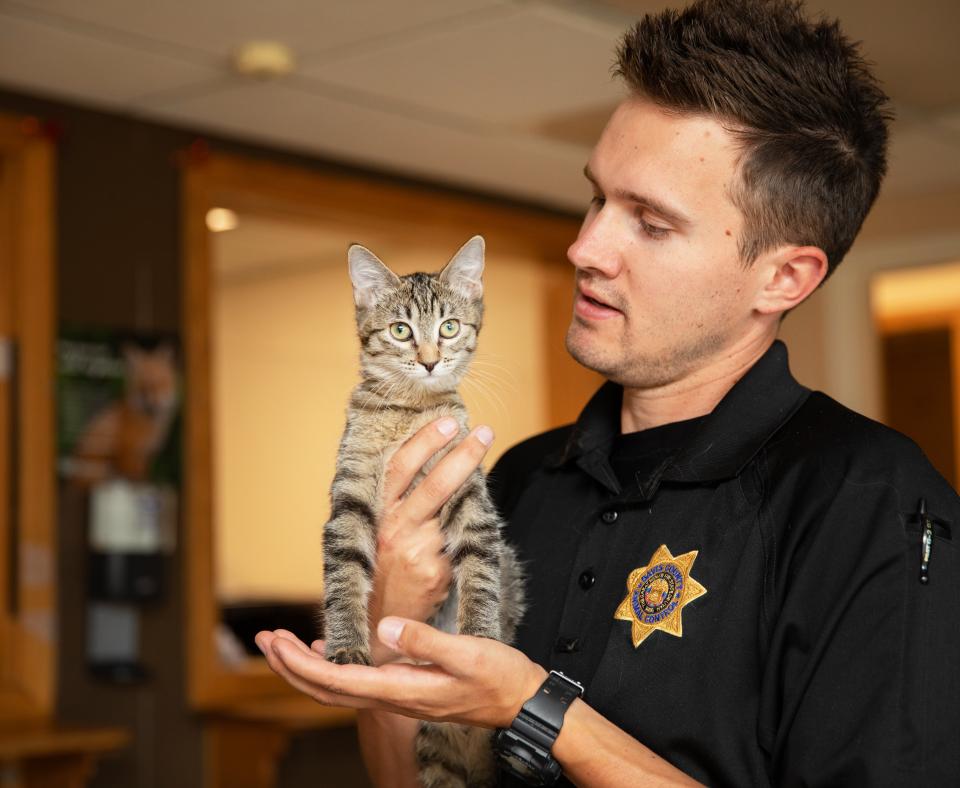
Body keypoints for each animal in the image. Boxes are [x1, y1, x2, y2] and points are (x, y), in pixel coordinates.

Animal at [324, 235, 524, 788]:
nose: (432, 361)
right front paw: (346, 641)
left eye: (449, 327)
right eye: (401, 330)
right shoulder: (351, 487)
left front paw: (481, 639)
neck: (410, 411)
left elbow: (480, 565)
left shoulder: (469, 488)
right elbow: (344, 568)